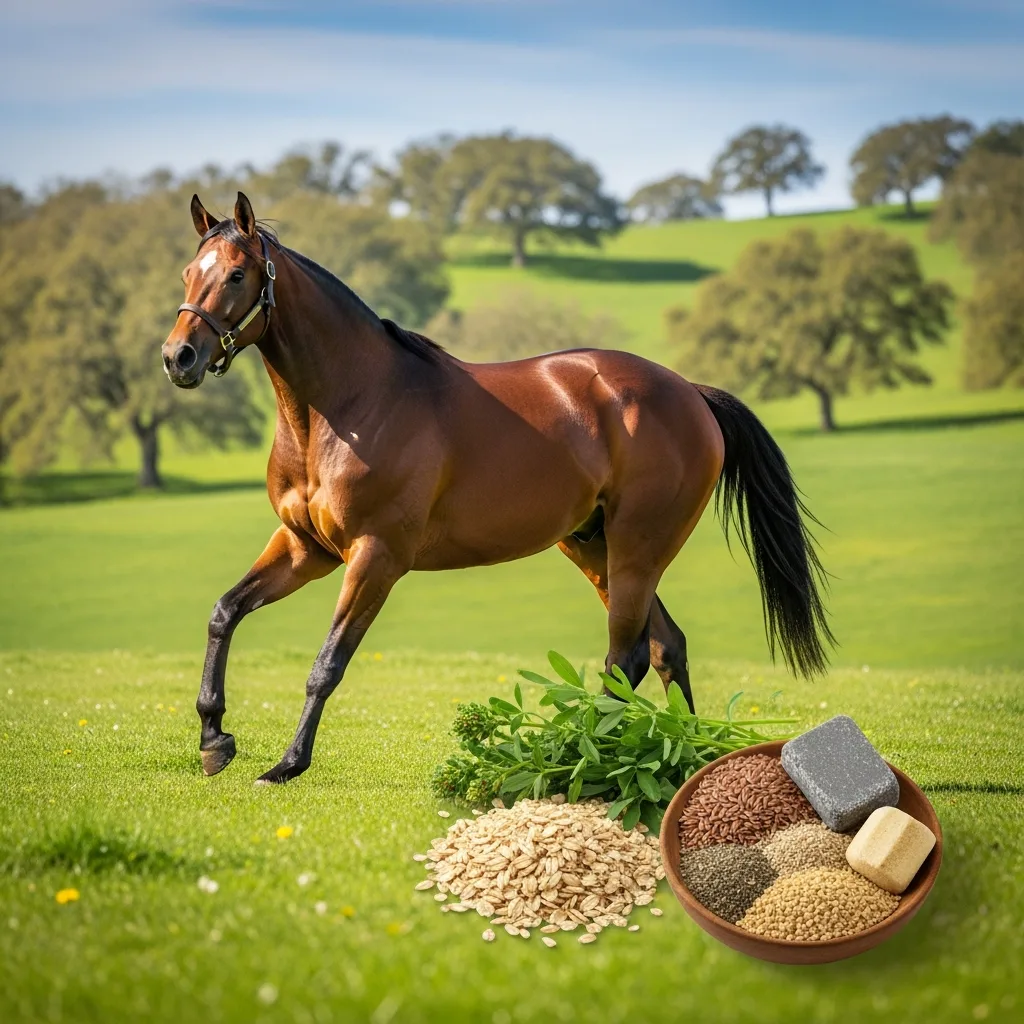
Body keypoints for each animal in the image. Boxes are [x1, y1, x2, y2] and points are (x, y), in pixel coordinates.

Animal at [162, 191, 832, 785]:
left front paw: (286, 765)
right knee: (668, 647)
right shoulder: (307, 548)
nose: (179, 357)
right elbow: (224, 612)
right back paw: (680, 759)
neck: (348, 405)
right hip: (593, 546)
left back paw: (588, 759)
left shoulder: (375, 557)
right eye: (189, 273)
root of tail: (691, 392)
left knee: (630, 656)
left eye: (238, 274)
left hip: (638, 549)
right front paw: (214, 740)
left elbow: (327, 665)